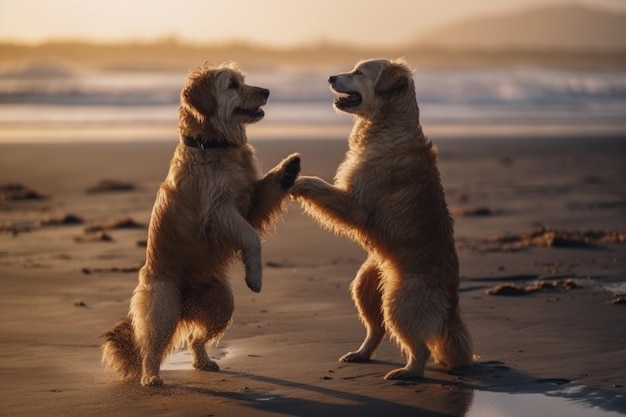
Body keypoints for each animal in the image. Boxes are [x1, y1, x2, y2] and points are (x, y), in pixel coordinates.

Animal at [100, 62, 300, 386]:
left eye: (243, 81)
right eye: (232, 85)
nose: (267, 91)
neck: (214, 145)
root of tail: (186, 303)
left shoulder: (251, 202)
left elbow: (268, 188)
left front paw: (288, 167)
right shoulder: (219, 212)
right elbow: (250, 237)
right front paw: (255, 276)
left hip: (221, 303)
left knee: (196, 338)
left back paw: (204, 362)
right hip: (164, 307)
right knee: (151, 347)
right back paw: (151, 377)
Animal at [290, 58, 470, 380]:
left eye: (359, 72)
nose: (330, 77)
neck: (386, 128)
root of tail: (451, 307)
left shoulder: (356, 205)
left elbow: (318, 185)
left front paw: (297, 182)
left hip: (400, 300)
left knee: (419, 348)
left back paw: (407, 373)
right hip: (365, 286)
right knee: (377, 330)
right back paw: (360, 354)